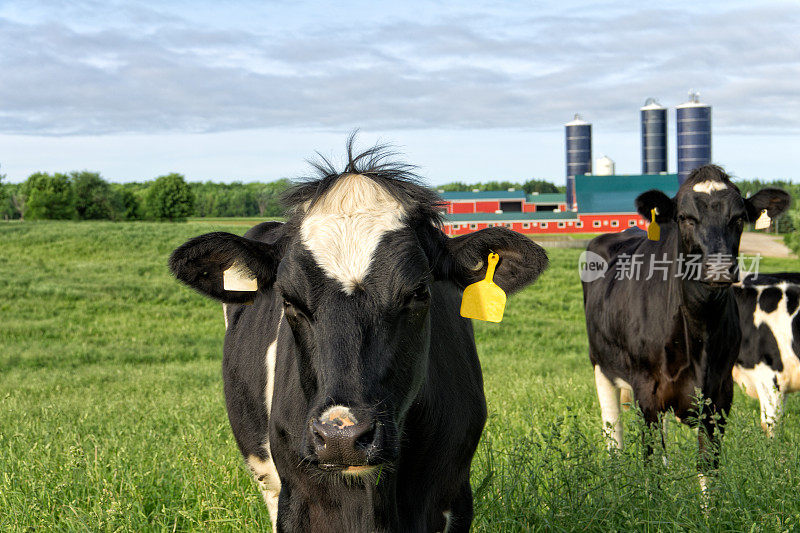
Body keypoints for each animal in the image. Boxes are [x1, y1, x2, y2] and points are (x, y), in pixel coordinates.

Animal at [580, 165, 792, 478]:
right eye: (684, 218)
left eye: (739, 218)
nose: (719, 268)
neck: (698, 330)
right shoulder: (647, 391)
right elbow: (651, 465)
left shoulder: (719, 394)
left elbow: (707, 466)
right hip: (601, 366)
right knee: (613, 435)